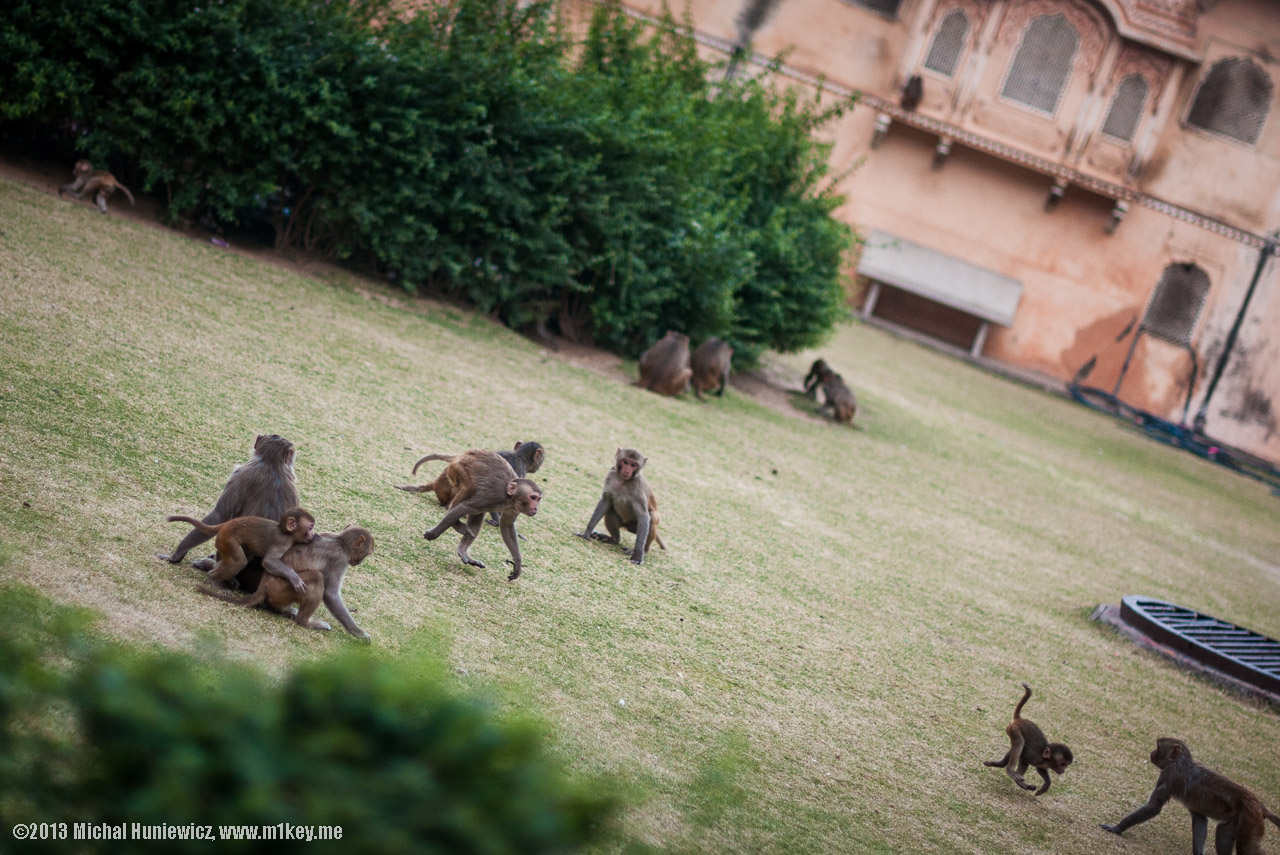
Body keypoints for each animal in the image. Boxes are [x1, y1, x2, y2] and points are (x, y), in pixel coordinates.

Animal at [167, 507, 315, 593]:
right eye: (310, 527)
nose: (313, 534)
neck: (287, 533)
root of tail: (226, 524)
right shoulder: (282, 543)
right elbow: (268, 562)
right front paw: (293, 576)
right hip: (227, 539)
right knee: (239, 561)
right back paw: (214, 579)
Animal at [200, 525, 375, 642]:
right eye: (367, 553)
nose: (360, 562)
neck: (340, 542)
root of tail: (263, 587)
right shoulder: (339, 560)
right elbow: (330, 594)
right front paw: (358, 632)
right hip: (282, 588)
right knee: (317, 577)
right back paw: (305, 621)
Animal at [421, 450, 542, 581]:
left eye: (538, 499)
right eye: (533, 497)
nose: (535, 508)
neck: (509, 497)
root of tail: (461, 455)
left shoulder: (514, 508)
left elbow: (507, 526)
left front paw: (518, 564)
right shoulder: (492, 496)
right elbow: (465, 508)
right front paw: (432, 535)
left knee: (478, 514)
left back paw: (463, 551)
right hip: (458, 469)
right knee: (469, 489)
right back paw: (456, 523)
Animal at [1102, 737, 1280, 855]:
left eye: (1158, 747)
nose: (1151, 752)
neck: (1180, 761)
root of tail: (1260, 805)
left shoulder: (1169, 775)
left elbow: (1153, 808)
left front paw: (1117, 828)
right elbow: (1200, 819)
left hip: (1250, 819)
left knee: (1246, 848)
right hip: (1241, 818)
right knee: (1223, 833)